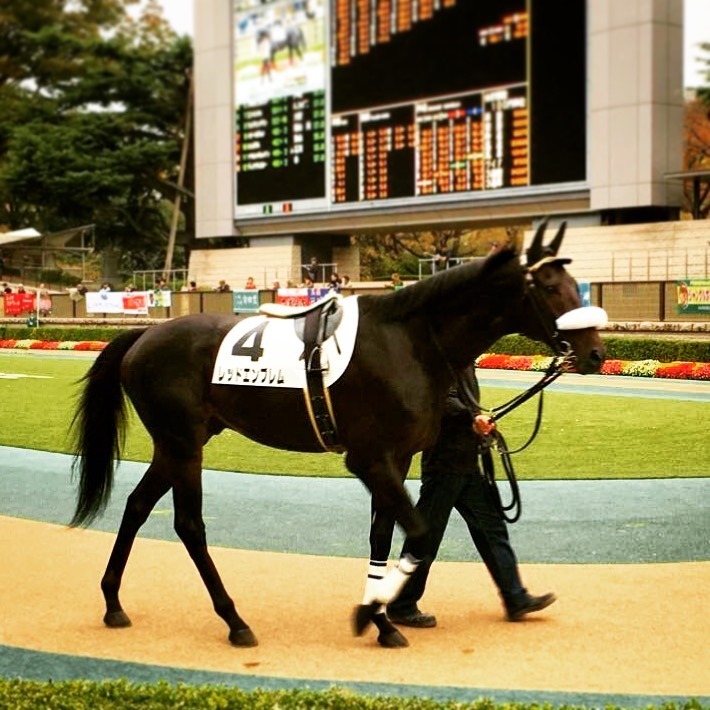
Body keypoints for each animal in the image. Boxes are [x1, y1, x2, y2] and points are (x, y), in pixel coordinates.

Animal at [69, 221, 606, 649]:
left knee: (138, 505)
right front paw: (371, 613)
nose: (596, 352)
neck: (409, 341)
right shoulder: (369, 458)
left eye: (575, 283)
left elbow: (383, 535)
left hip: (178, 443)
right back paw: (234, 620)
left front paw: (385, 621)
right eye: (551, 286)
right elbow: (419, 530)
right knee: (189, 525)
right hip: (183, 444)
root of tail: (142, 335)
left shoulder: (397, 458)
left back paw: (113, 602)